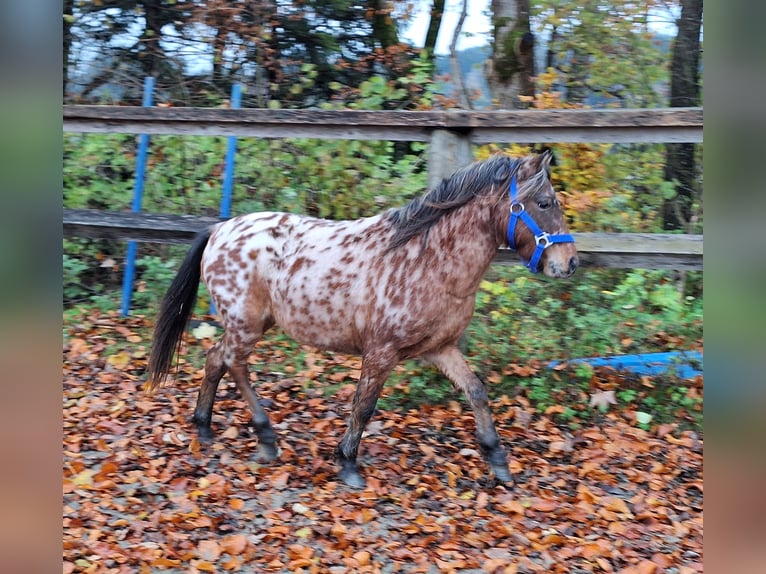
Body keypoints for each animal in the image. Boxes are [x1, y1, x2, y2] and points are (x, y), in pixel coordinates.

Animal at [147, 151, 580, 488]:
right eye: (544, 203)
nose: (570, 263)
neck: (427, 260)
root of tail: (220, 229)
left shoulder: (440, 349)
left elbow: (476, 391)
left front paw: (499, 462)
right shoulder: (381, 352)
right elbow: (364, 406)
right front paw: (348, 465)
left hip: (252, 325)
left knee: (216, 360)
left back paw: (206, 428)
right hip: (245, 325)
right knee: (233, 363)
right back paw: (264, 437)